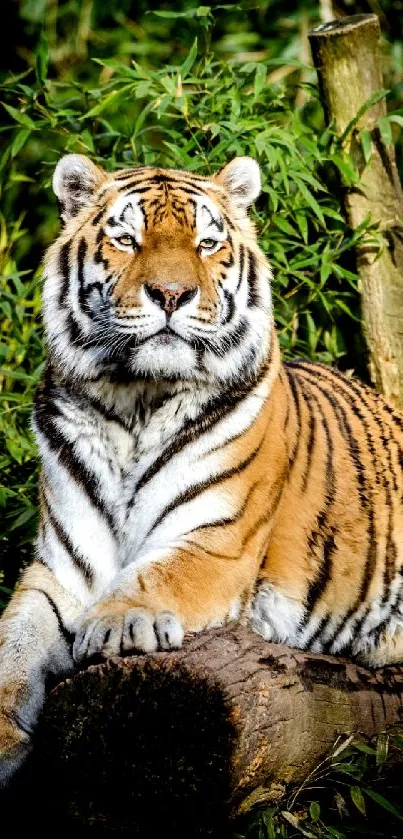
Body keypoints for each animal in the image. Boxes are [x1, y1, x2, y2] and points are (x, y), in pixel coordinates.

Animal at [0, 153, 403, 788]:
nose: (172, 294)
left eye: (207, 243)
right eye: (127, 238)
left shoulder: (216, 543)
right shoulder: (61, 568)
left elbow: (155, 575)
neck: (135, 402)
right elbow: (13, 645)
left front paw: (116, 625)